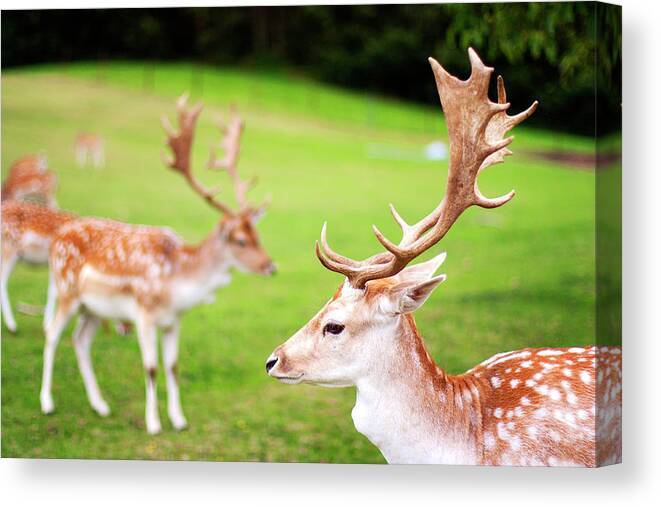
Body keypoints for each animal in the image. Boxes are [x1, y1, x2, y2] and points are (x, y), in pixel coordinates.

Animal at [41, 94, 274, 432]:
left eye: (258, 234)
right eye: (241, 240)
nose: (271, 266)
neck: (177, 283)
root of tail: (57, 237)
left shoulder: (173, 320)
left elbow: (173, 366)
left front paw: (178, 419)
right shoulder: (145, 314)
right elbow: (151, 367)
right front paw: (153, 423)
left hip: (94, 308)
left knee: (80, 340)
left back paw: (100, 405)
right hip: (66, 291)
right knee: (51, 333)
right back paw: (47, 403)